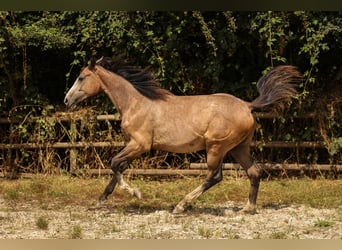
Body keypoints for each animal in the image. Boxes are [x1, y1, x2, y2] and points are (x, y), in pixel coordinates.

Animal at [64, 56, 302, 215]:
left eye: (82, 77)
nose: (67, 100)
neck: (136, 103)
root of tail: (247, 105)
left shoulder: (140, 144)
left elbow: (114, 164)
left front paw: (135, 193)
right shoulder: (134, 145)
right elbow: (118, 167)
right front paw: (101, 200)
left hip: (216, 147)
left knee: (215, 176)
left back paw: (180, 206)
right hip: (239, 148)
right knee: (254, 172)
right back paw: (247, 208)